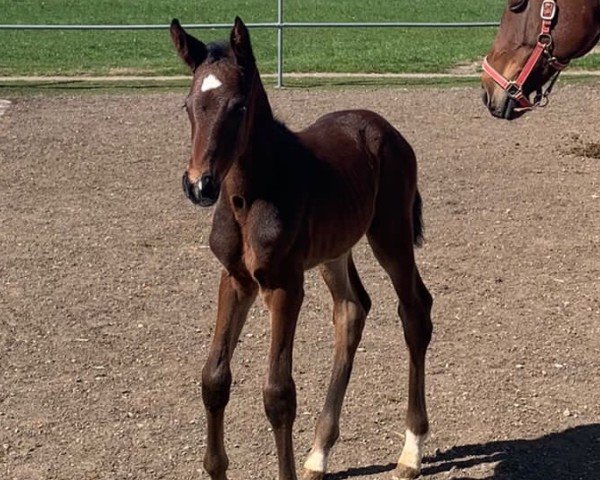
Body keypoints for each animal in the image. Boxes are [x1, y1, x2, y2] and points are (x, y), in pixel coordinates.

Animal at [171, 16, 434, 480]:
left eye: (238, 107)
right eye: (188, 105)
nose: (199, 185)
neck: (249, 196)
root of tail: (384, 128)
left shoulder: (284, 285)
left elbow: (278, 393)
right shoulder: (236, 279)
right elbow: (214, 378)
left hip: (391, 235)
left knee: (415, 312)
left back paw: (410, 451)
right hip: (334, 251)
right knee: (351, 310)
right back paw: (319, 454)